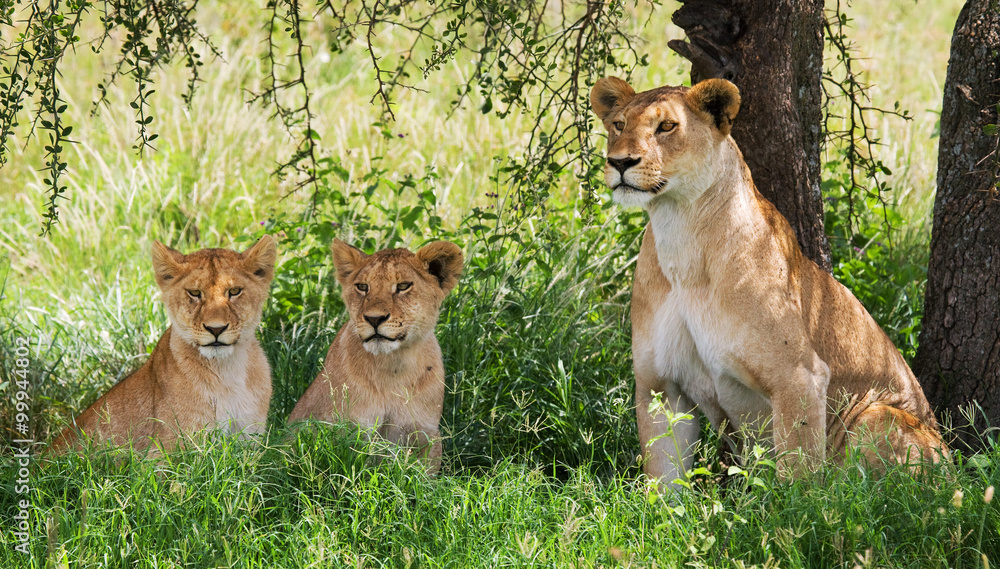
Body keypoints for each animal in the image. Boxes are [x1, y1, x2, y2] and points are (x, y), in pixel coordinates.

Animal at [49, 236, 277, 453]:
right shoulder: (165, 453)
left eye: (235, 291)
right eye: (195, 293)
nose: (216, 329)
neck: (227, 369)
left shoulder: (251, 441)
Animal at [287, 239, 464, 471]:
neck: (393, 367)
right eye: (362, 287)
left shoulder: (426, 435)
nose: (374, 318)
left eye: (403, 286)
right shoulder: (346, 431)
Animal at [590, 77, 946, 486]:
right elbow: (663, 480)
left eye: (666, 126)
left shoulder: (799, 377)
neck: (680, 234)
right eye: (619, 125)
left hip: (875, 415)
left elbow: (798, 477)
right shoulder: (659, 387)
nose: (620, 162)